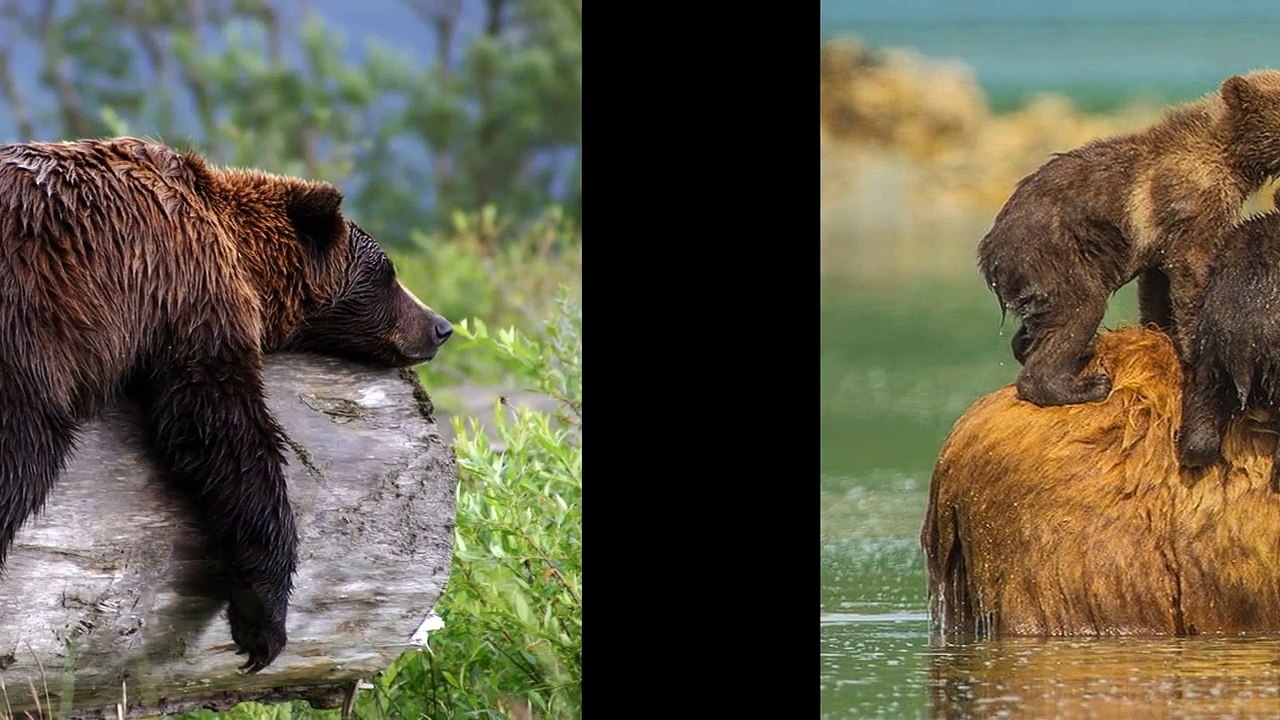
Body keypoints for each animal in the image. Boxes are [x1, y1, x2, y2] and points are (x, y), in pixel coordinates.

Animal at [0, 137, 453, 673]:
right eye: (388, 273)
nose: (441, 326)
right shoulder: (188, 290)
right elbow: (222, 430)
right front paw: (263, 621)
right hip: (32, 333)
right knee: (25, 456)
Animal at [978, 69, 1280, 407]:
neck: (1232, 156)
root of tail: (989, 253)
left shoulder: (1161, 238)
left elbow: (1157, 284)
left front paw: (1161, 330)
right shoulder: (1190, 201)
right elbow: (1191, 268)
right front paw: (1194, 348)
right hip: (1053, 256)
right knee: (1080, 310)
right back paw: (1081, 385)